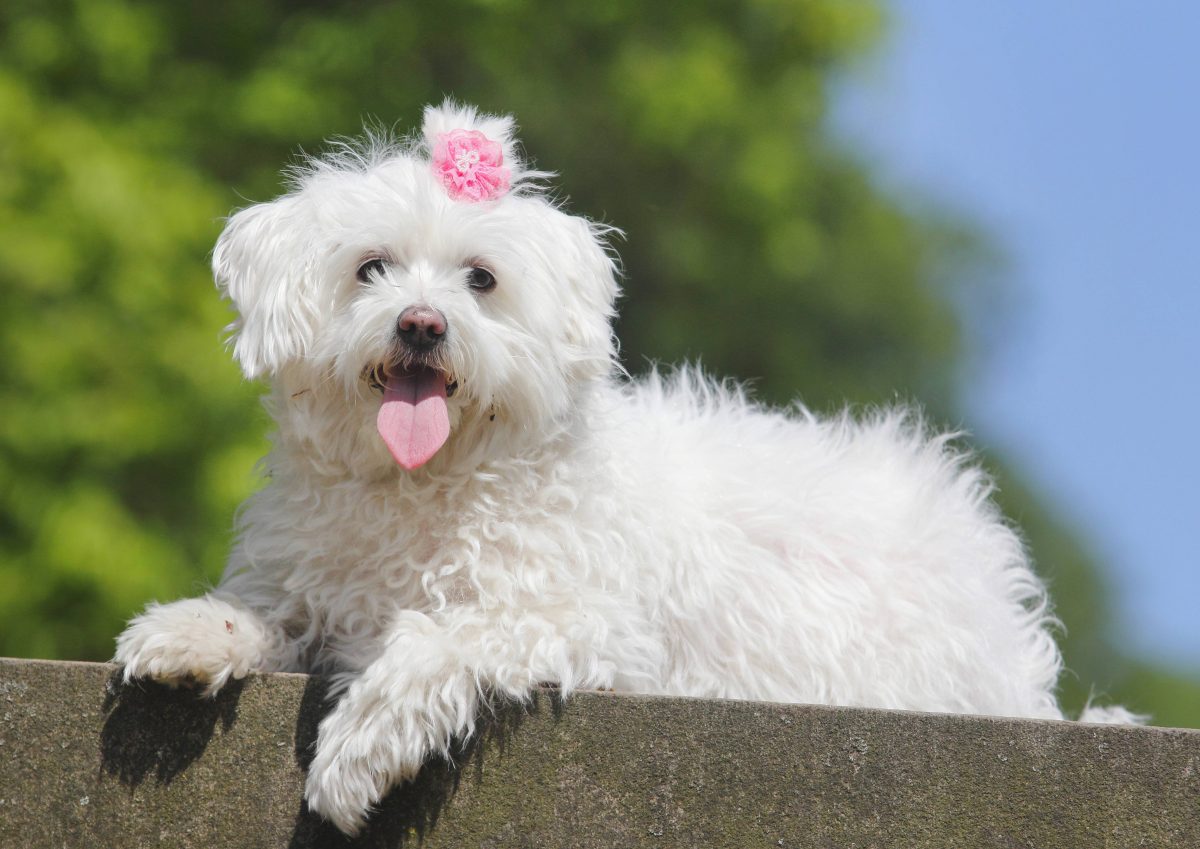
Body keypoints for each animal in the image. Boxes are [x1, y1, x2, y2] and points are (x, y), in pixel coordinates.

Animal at [112, 102, 1132, 834]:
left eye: (480, 278)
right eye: (371, 269)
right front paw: (187, 632)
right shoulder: (310, 578)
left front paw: (357, 748)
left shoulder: (586, 623)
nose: (422, 323)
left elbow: (444, 639)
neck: (427, 483)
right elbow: (265, 611)